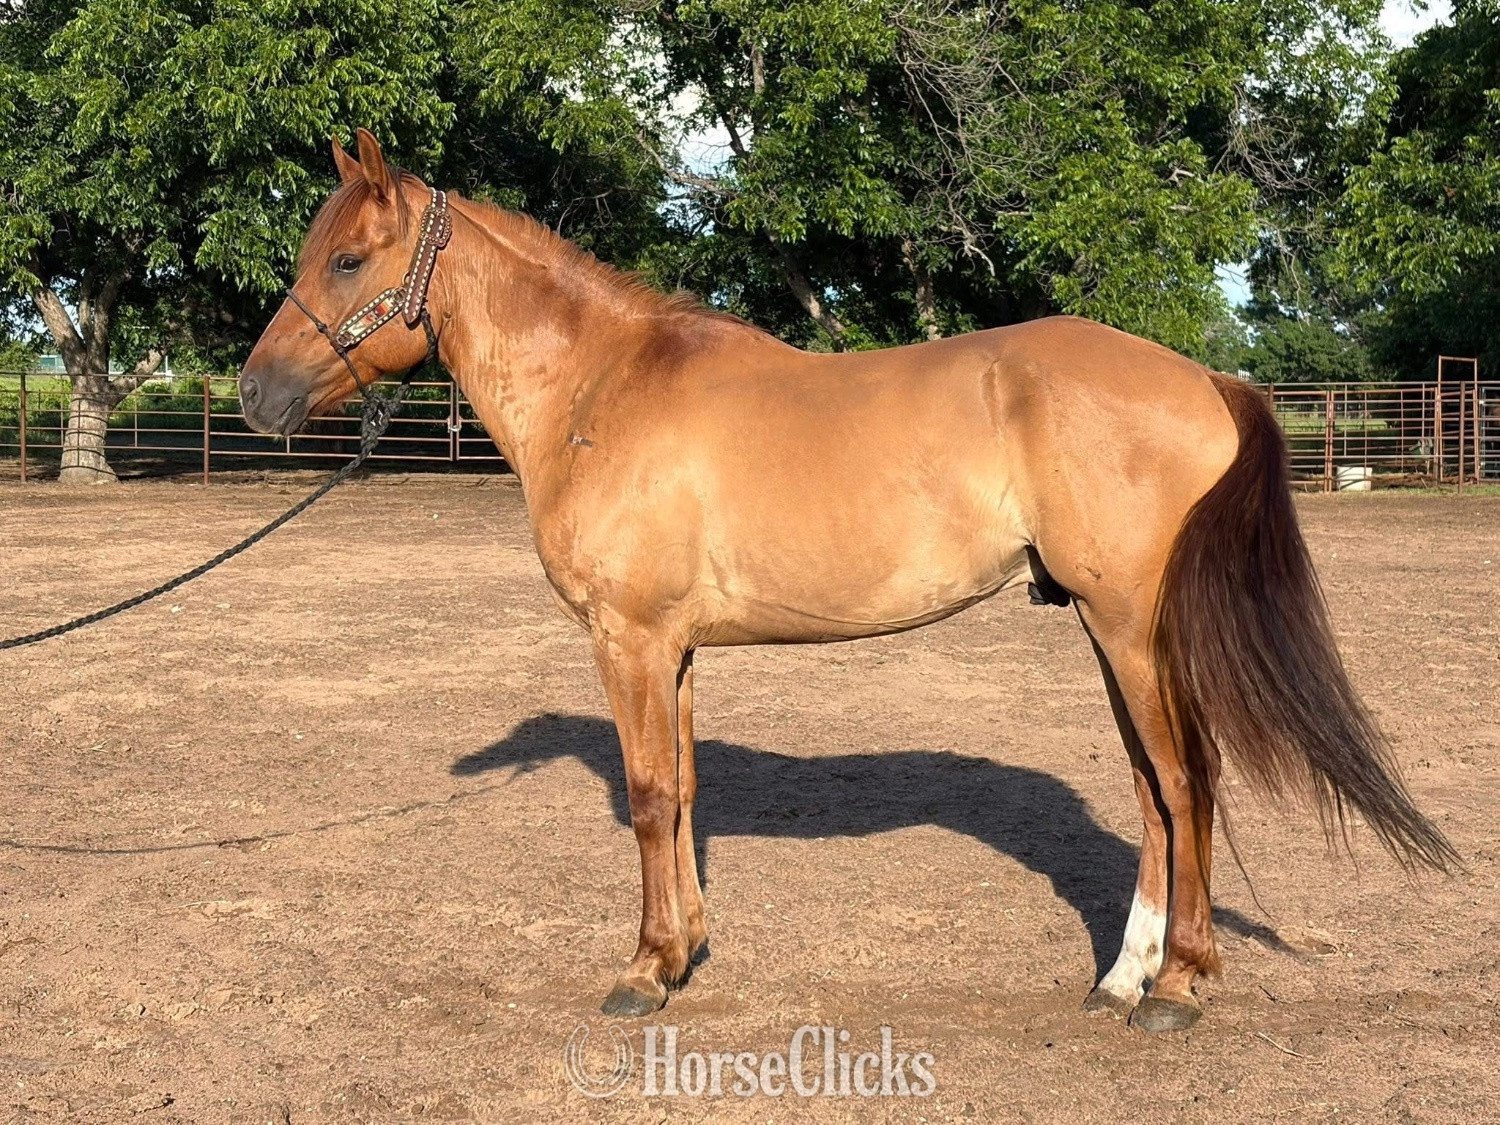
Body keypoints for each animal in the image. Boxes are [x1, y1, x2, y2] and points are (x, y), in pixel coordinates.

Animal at [238, 129, 1456, 1033]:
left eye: (347, 261)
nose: (254, 395)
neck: (603, 388)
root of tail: (1204, 377)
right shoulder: (675, 650)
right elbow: (684, 791)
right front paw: (686, 950)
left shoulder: (628, 638)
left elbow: (646, 797)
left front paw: (642, 969)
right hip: (1110, 633)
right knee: (1154, 789)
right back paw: (1123, 976)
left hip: (1132, 626)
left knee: (1187, 779)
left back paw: (1183, 986)